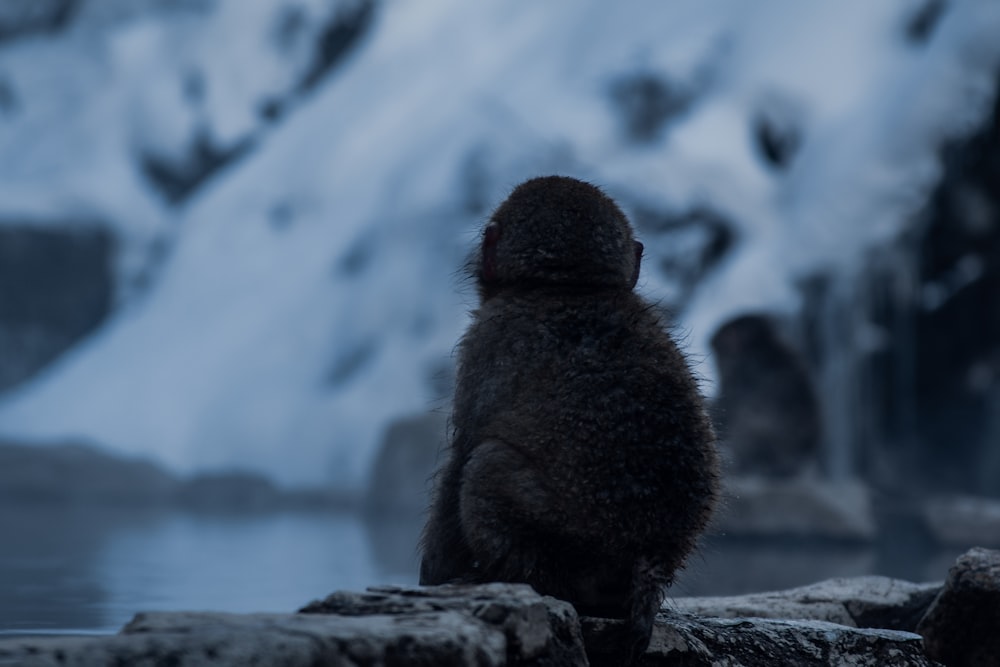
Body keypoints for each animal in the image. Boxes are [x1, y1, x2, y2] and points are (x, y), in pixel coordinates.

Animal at [420, 175, 720, 664]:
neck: (570, 287)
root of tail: (649, 560)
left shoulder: (489, 337)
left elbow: (462, 452)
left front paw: (434, 576)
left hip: (570, 541)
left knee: (485, 464)